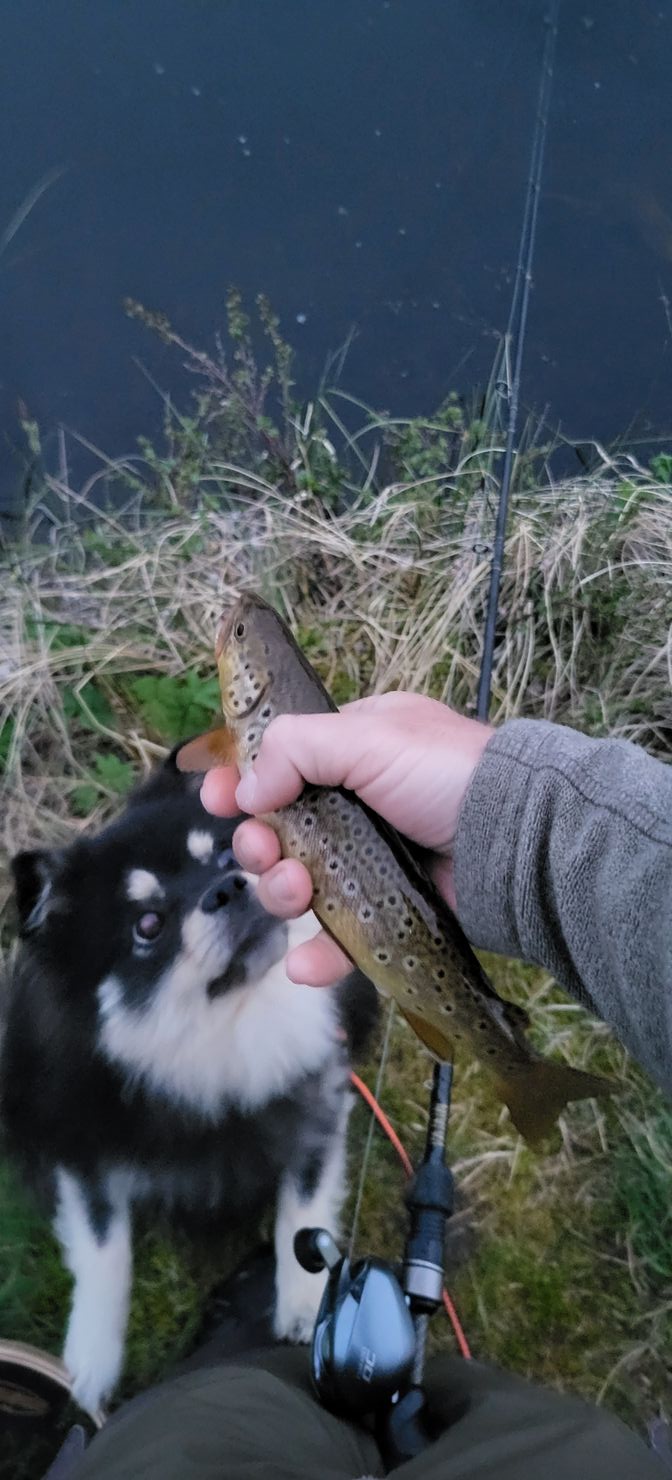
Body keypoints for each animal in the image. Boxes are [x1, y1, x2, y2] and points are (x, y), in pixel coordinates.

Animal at [0, 750, 377, 1417]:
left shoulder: (317, 1105)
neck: (215, 1043)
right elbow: (105, 1249)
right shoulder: (83, 1148)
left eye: (230, 857)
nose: (228, 887)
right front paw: (90, 1363)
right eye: (148, 925)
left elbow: (303, 1207)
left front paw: (303, 1306)